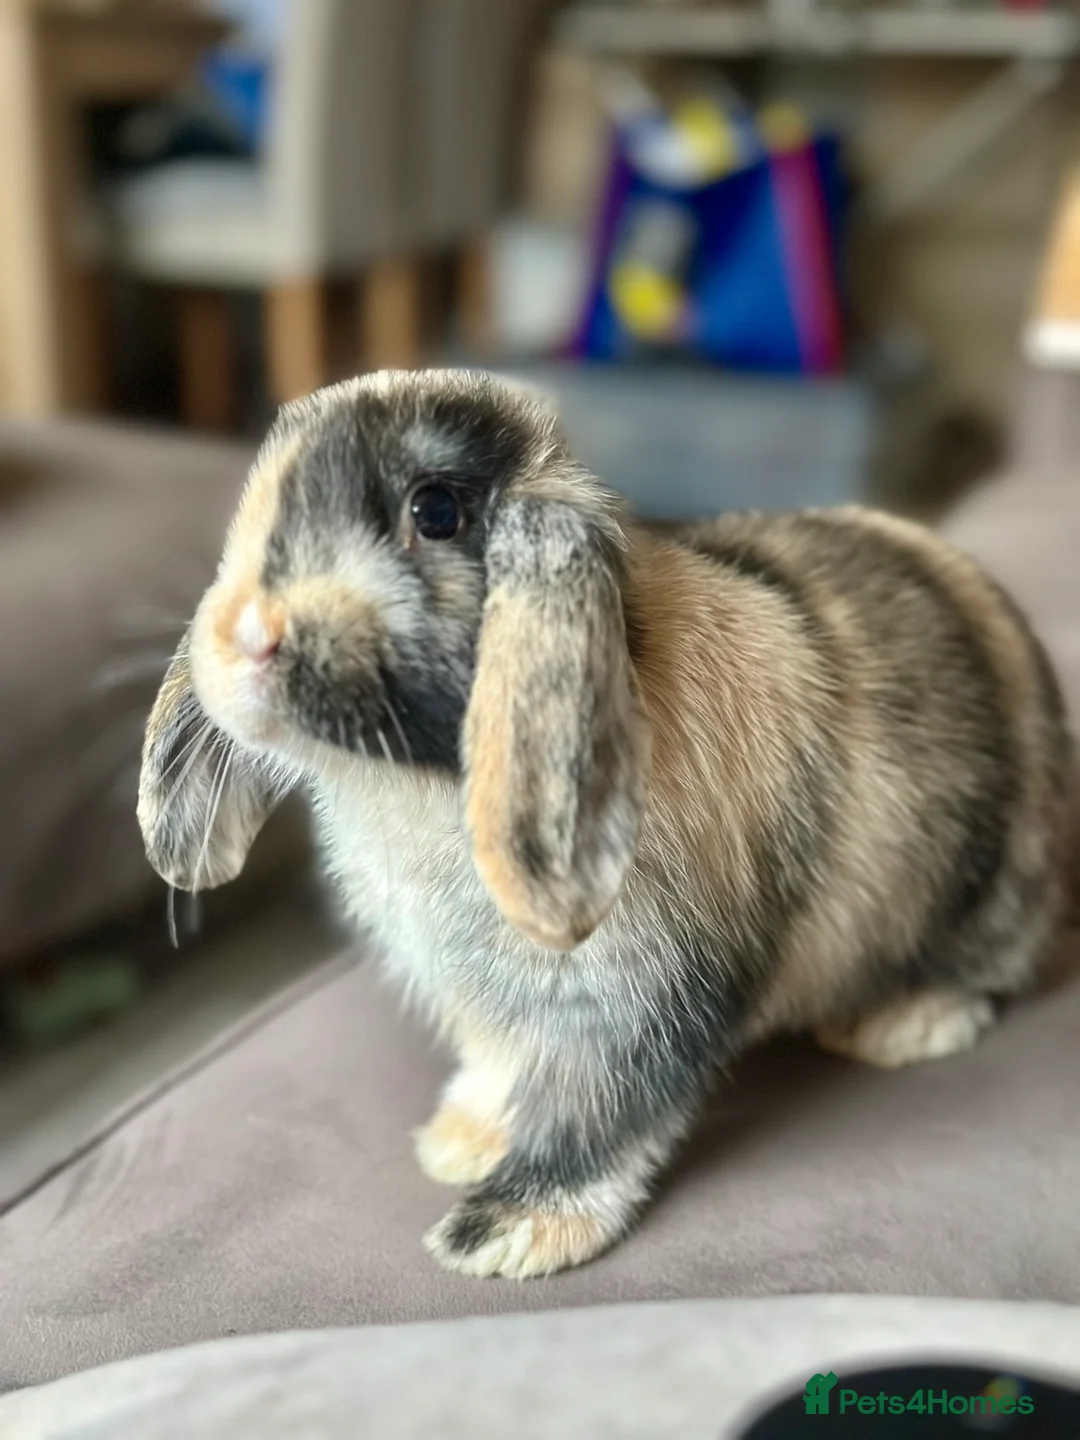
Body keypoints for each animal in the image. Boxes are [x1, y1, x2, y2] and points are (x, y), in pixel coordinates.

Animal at [137, 369, 1074, 1280]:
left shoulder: (641, 1000)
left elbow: (600, 1113)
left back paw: (901, 1025)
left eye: (435, 512)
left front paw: (507, 1234)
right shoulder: (491, 1006)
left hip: (988, 897)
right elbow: (498, 1068)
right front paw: (458, 1144)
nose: (245, 638)